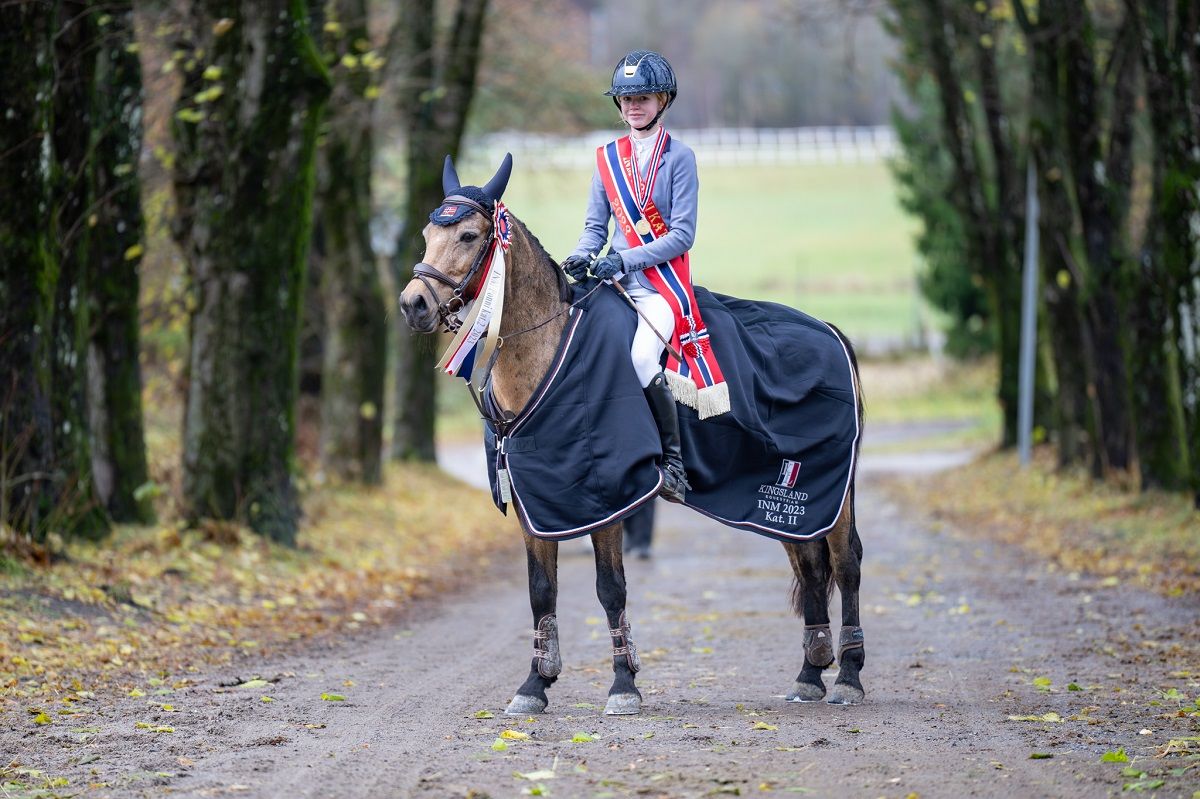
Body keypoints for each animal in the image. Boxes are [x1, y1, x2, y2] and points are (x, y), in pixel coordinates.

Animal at [398, 152, 868, 710]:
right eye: (428, 233)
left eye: (469, 235)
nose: (413, 304)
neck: (551, 351)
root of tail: (830, 330)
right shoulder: (539, 502)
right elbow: (540, 591)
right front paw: (535, 684)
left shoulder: (608, 494)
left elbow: (610, 588)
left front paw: (623, 684)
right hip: (787, 500)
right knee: (810, 565)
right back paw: (810, 674)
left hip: (830, 490)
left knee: (846, 563)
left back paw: (848, 676)